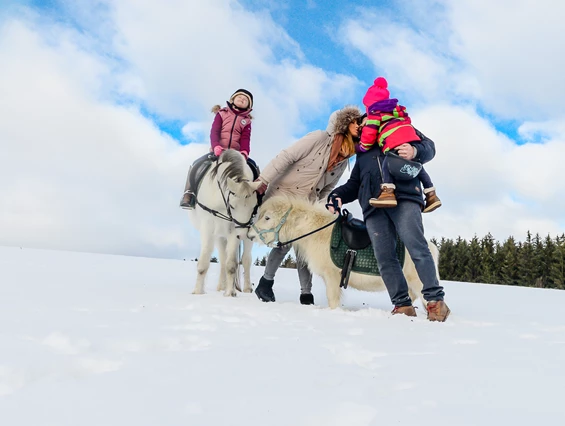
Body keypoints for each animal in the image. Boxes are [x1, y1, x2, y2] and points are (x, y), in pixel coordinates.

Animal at [188, 151, 262, 298]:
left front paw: (229, 293)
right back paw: (220, 287)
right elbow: (204, 261)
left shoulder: (234, 230)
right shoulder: (208, 226)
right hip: (219, 236)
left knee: (246, 260)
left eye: (254, 207)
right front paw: (198, 292)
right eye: (232, 205)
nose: (242, 235)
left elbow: (231, 264)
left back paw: (246, 288)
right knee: (222, 260)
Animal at [246, 196, 436, 310]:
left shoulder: (332, 276)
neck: (317, 231)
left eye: (267, 217)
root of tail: (431, 247)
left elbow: (333, 300)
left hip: (418, 282)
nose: (250, 234)